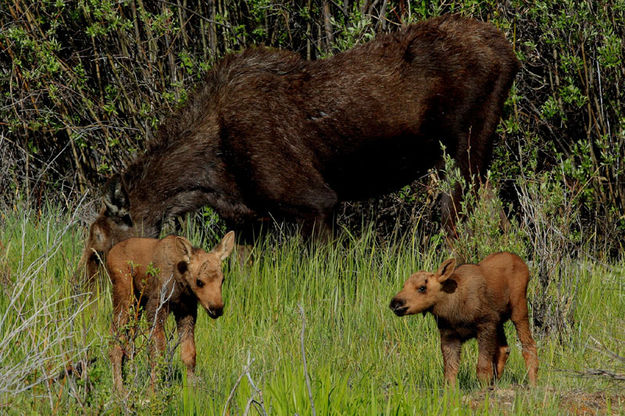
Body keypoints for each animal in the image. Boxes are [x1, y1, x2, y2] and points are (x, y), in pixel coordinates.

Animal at [75, 15, 520, 282]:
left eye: (99, 243)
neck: (207, 177)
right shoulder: (250, 219)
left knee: (464, 220)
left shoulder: (316, 202)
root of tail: (508, 50)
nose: (82, 288)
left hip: (464, 148)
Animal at [107, 231, 234, 394]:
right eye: (199, 281)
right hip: (124, 294)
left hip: (137, 304)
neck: (181, 284)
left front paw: (191, 390)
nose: (217, 308)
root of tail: (109, 253)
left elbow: (189, 353)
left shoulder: (187, 310)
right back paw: (119, 389)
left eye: (222, 279)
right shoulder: (156, 305)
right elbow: (157, 351)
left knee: (128, 344)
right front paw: (152, 391)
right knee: (115, 340)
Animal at [390, 254, 536, 386]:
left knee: (529, 346)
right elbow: (450, 372)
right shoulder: (449, 335)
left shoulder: (486, 325)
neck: (452, 308)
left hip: (518, 309)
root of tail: (523, 263)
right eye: (404, 285)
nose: (395, 303)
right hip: (499, 322)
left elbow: (482, 368)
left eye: (422, 287)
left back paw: (533, 384)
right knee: (504, 349)